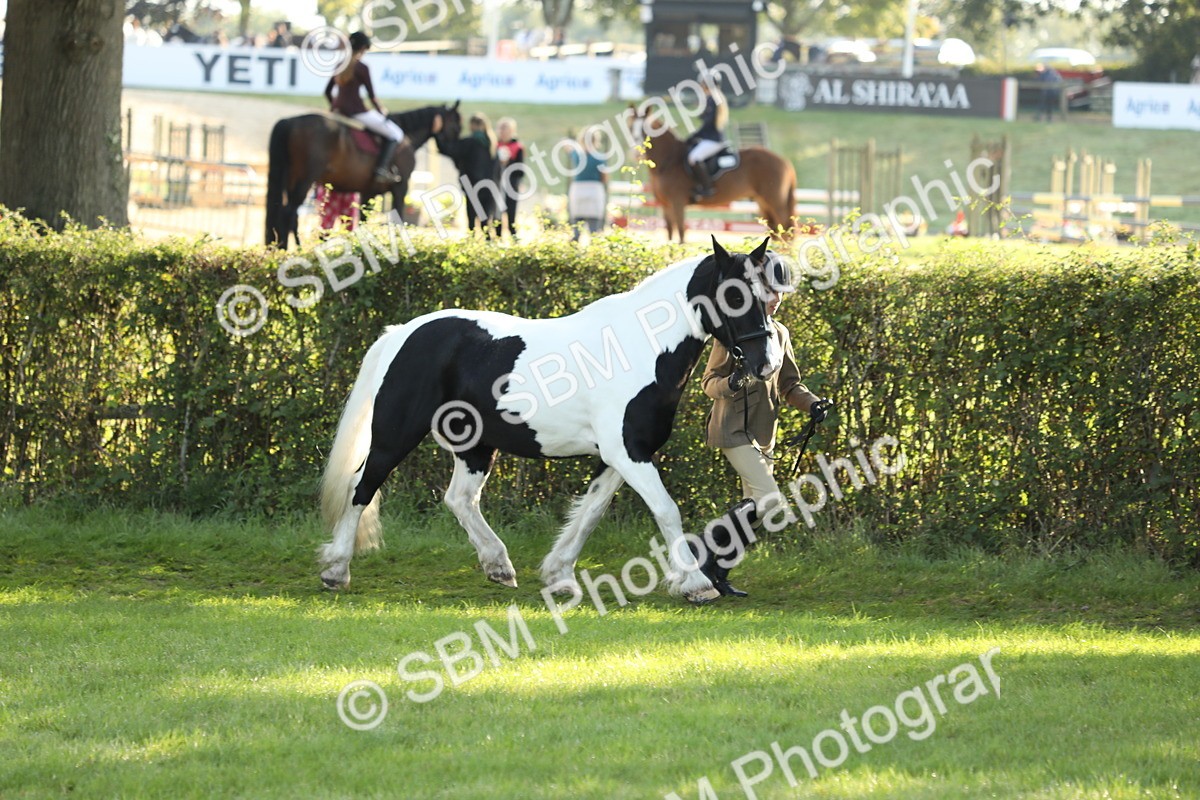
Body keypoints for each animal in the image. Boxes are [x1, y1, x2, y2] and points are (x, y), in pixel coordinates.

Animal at [265, 102, 462, 249]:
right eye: (456, 127)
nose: (451, 149)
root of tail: (290, 121)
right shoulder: (401, 187)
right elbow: (398, 219)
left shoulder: (369, 192)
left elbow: (362, 222)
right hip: (305, 179)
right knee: (288, 213)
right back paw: (290, 250)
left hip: (291, 178)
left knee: (290, 215)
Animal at [317, 237, 784, 604]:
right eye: (734, 296)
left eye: (765, 294)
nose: (765, 364)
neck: (638, 348)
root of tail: (401, 333)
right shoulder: (629, 453)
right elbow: (666, 511)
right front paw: (695, 584)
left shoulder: (620, 457)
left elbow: (591, 512)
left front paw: (559, 576)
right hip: (395, 435)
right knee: (362, 488)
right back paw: (336, 570)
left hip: (475, 445)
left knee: (460, 499)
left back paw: (499, 566)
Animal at [628, 105, 798, 243]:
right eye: (630, 128)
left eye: (646, 129)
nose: (635, 154)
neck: (669, 159)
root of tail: (783, 161)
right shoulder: (665, 204)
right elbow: (670, 235)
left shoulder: (678, 202)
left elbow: (681, 234)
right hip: (763, 202)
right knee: (775, 230)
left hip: (775, 200)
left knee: (785, 228)